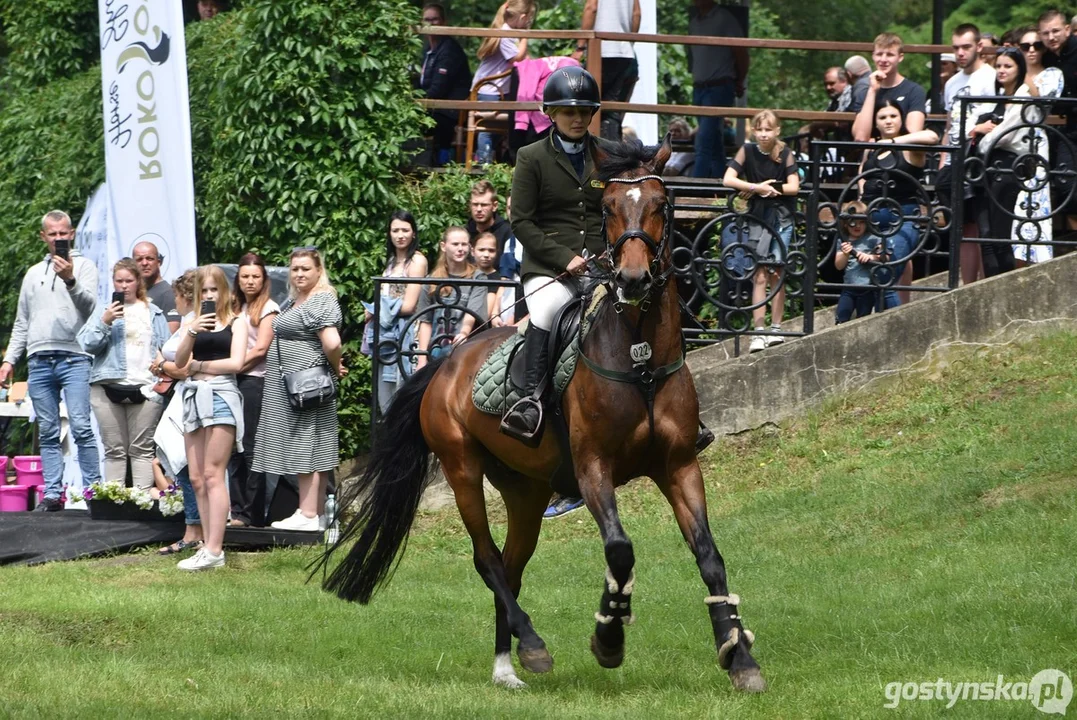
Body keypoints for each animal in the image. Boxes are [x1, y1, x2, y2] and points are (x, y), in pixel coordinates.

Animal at [318, 134, 766, 688]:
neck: (638, 356)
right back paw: (531, 646)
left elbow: (710, 556)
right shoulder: (593, 468)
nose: (633, 280)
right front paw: (609, 636)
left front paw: (738, 654)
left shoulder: (679, 465)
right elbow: (620, 549)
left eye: (661, 204)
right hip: (462, 468)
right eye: (608, 208)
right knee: (487, 560)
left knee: (511, 565)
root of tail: (446, 362)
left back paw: (507, 666)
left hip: (526, 490)